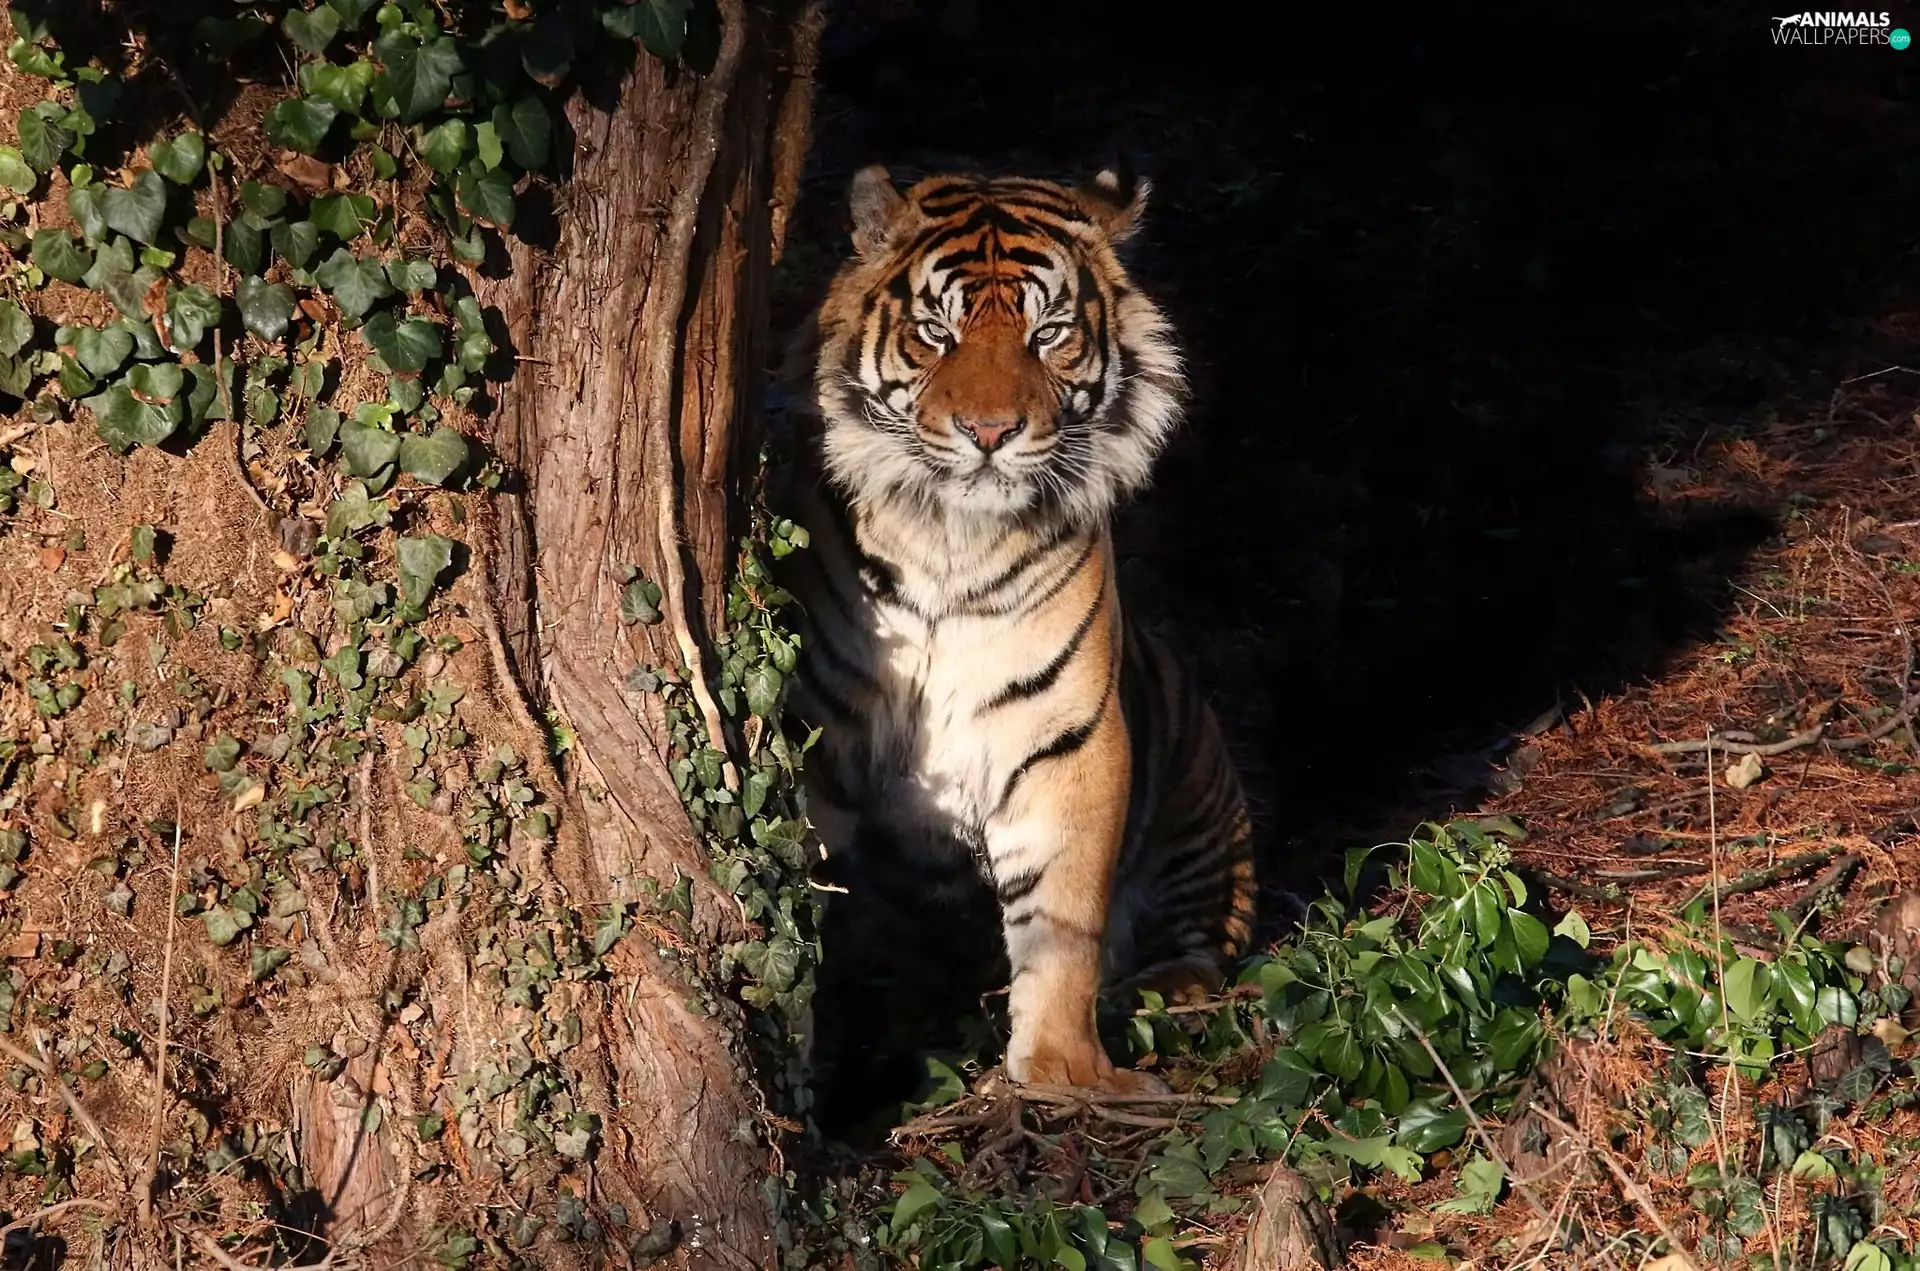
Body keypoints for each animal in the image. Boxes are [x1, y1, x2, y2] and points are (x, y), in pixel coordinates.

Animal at [773, 163, 1255, 1097]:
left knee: (1206, 944)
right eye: (936, 333)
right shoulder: (820, 735)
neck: (949, 541)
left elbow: (1063, 920)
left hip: (1199, 800)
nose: (991, 433)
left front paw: (1065, 1069)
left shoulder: (1070, 737)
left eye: (1049, 334)